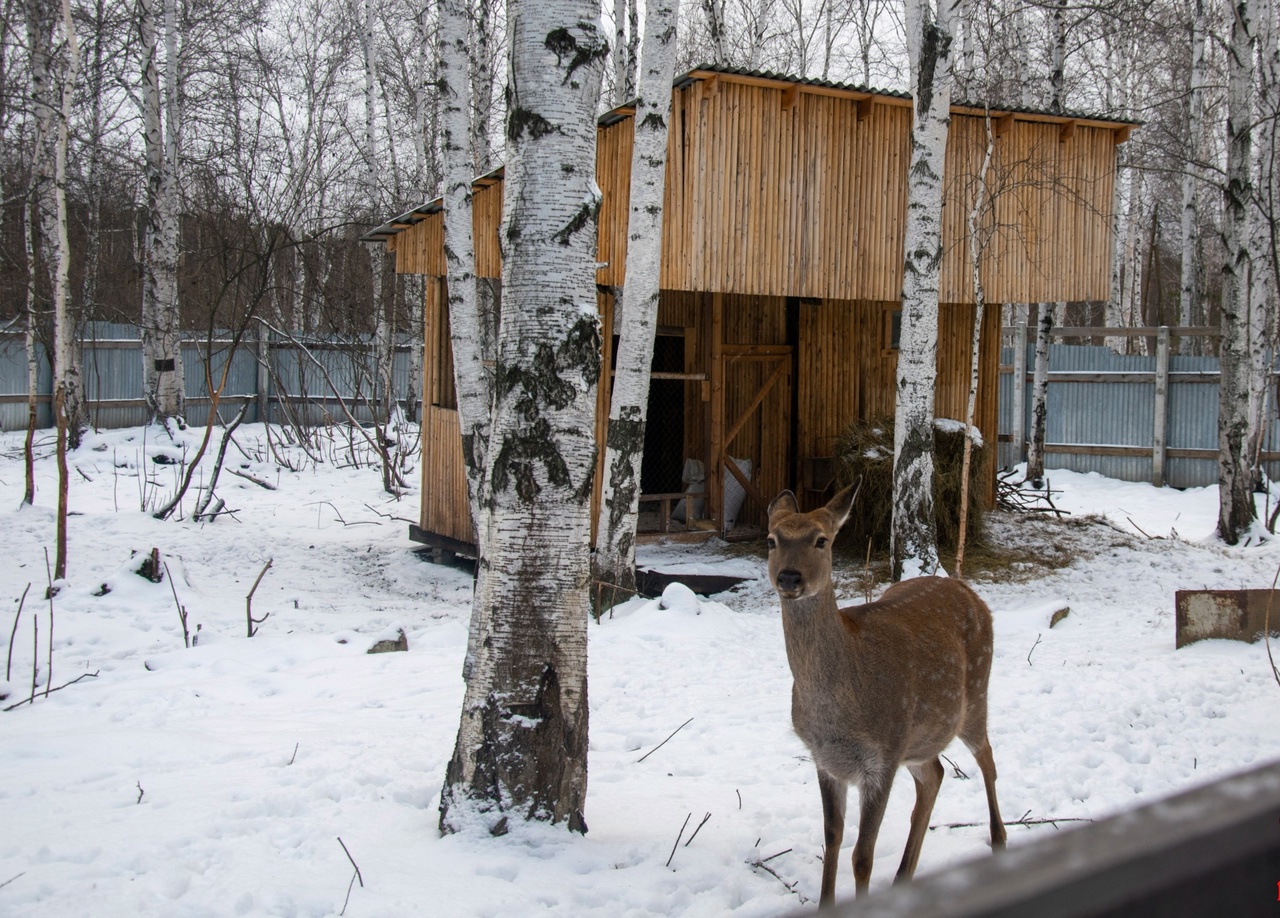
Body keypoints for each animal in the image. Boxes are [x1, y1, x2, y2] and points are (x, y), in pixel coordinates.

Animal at [762, 483, 1003, 906]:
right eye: (772, 540)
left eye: (821, 540)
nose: (789, 577)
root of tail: (966, 587)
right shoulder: (824, 759)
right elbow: (833, 838)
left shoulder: (883, 755)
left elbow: (862, 856)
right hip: (921, 735)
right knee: (935, 773)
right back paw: (904, 878)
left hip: (975, 694)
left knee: (987, 759)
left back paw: (1000, 841)